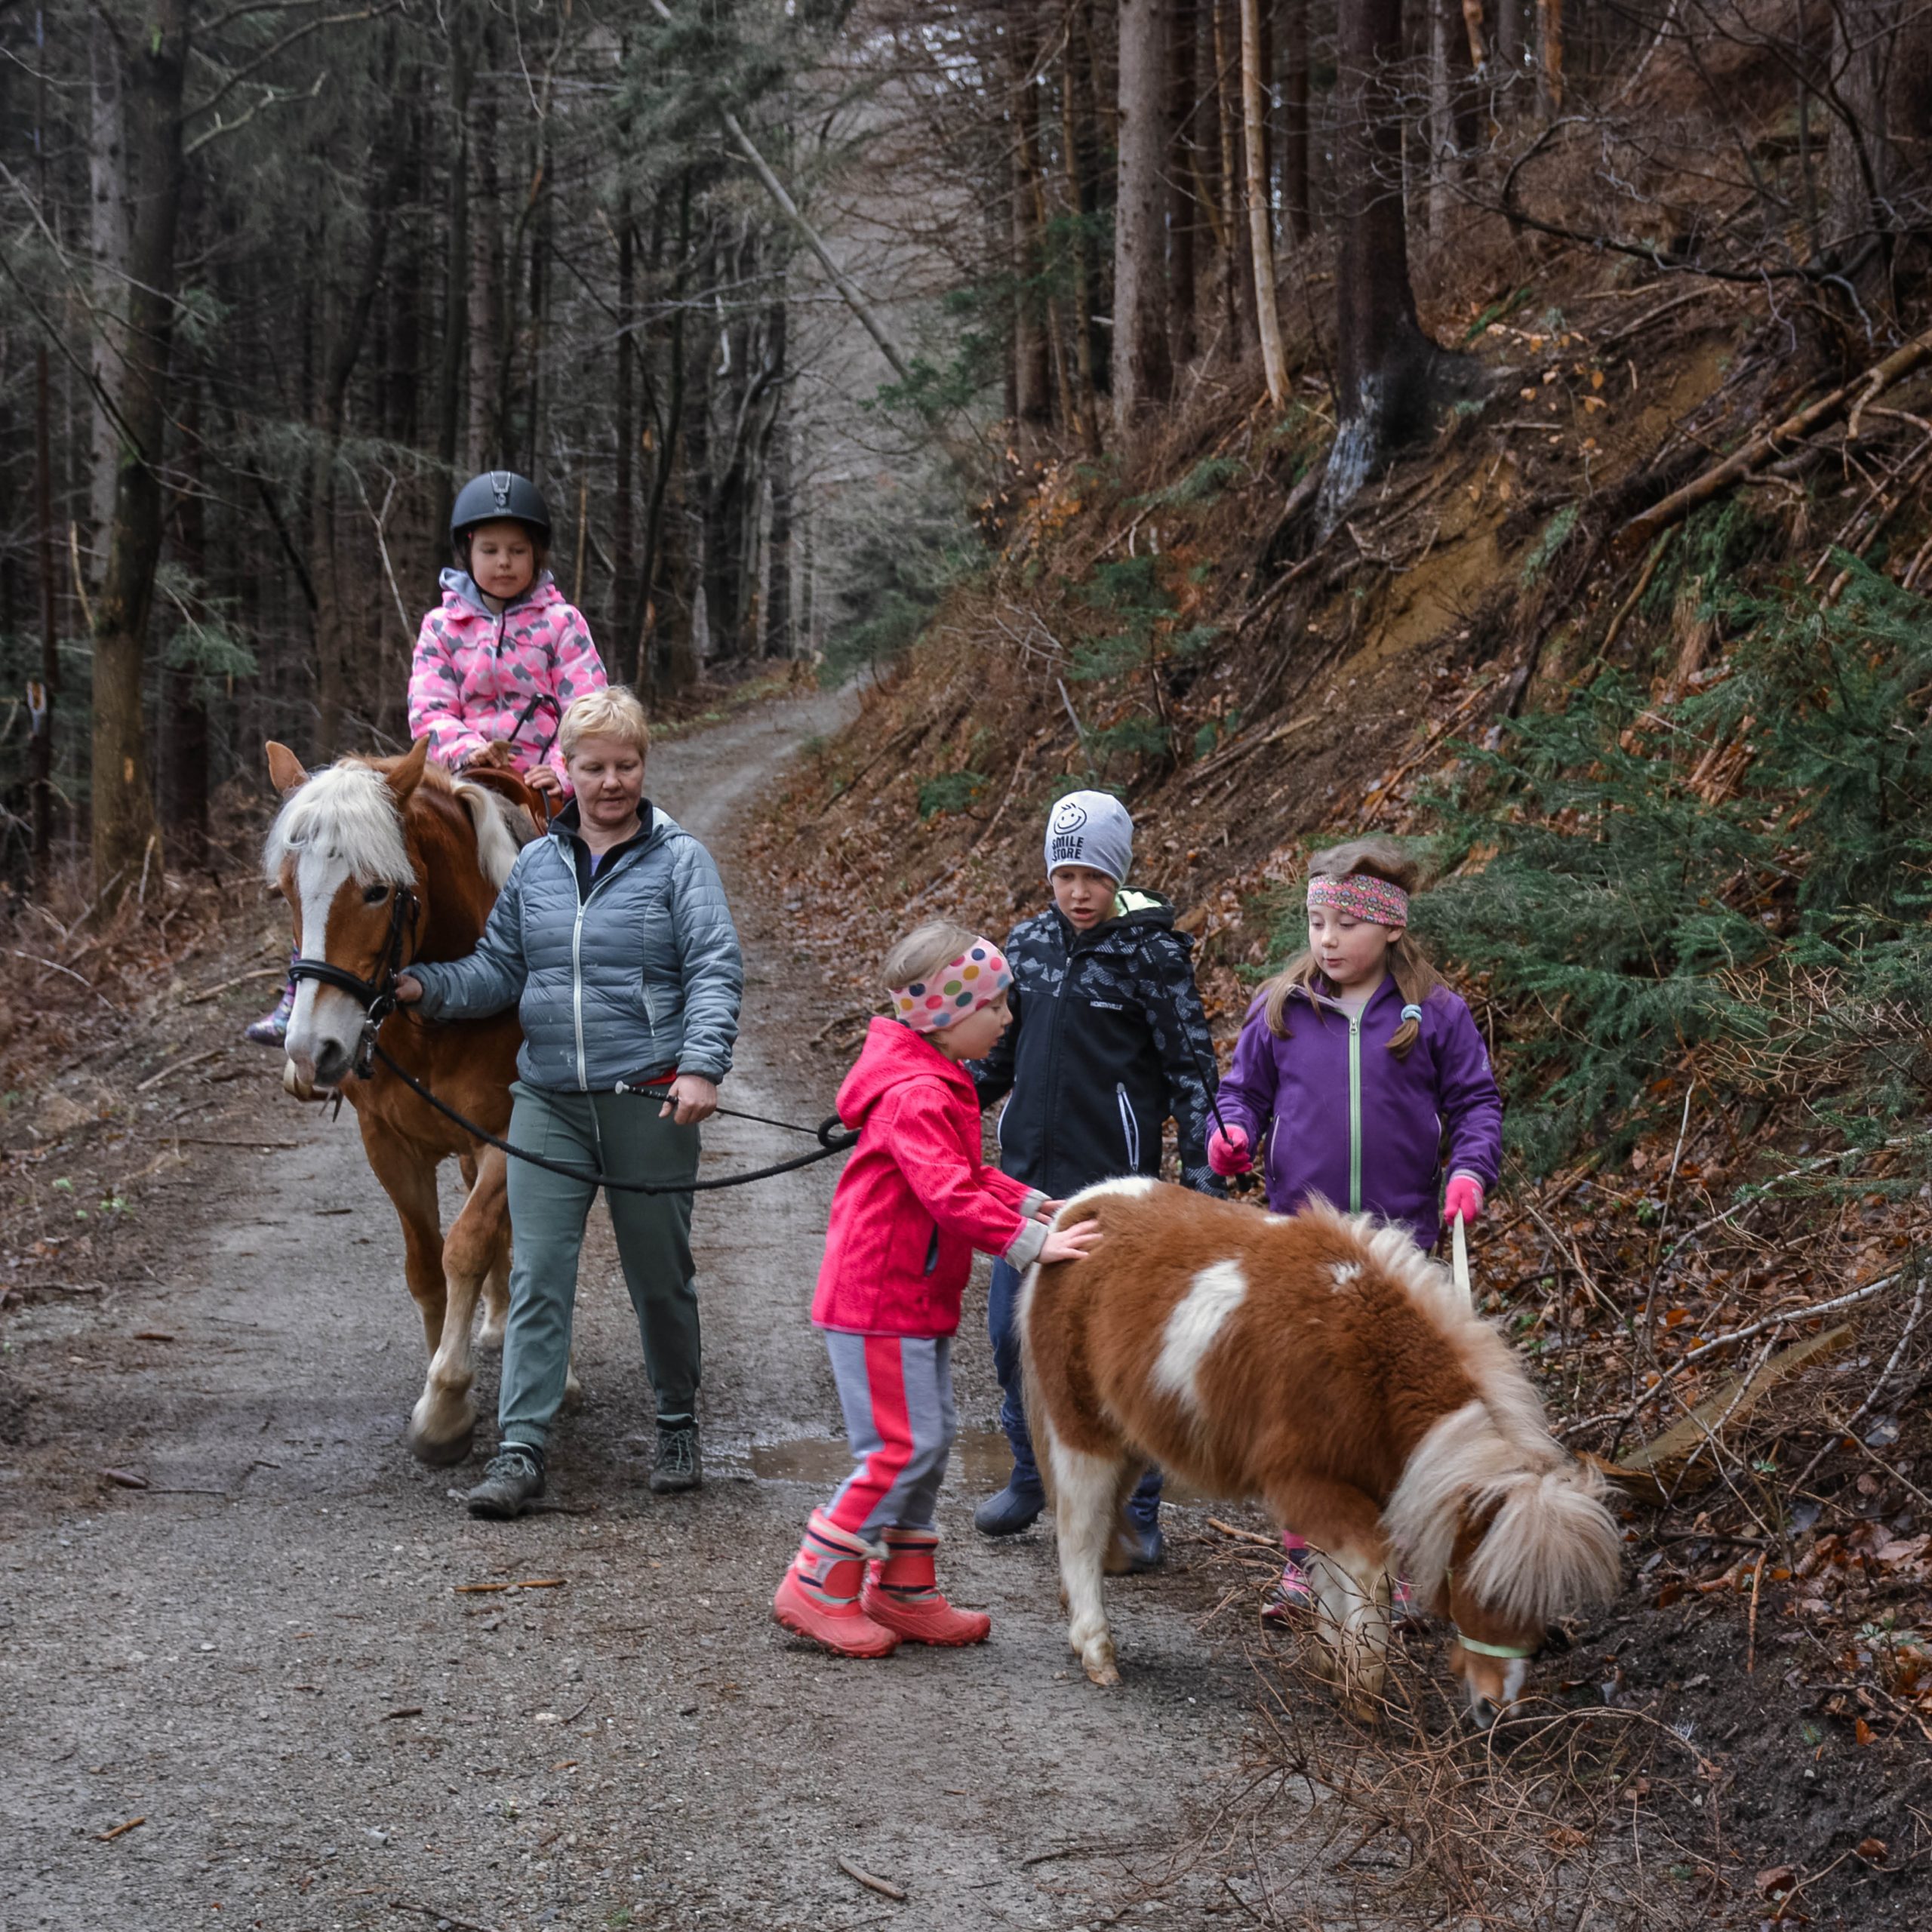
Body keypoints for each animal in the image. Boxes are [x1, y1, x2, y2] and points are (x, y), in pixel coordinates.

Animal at [260, 737, 540, 1460]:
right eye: (285, 890)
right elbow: (425, 1266)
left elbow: (466, 1245)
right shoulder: (388, 1144)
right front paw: (446, 1382)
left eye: (378, 891)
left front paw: (444, 1402)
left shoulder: (516, 1138)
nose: (313, 1050)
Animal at [1020, 1174, 1623, 1723]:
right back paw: (1096, 1650)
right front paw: (1364, 1687)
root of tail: (1076, 1211)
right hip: (1083, 1436)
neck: (1371, 1364)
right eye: (1486, 1589)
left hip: (1129, 1444)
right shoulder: (1310, 1485)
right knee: (1080, 1530)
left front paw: (1335, 1662)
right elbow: (1368, 1573)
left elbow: (1334, 1575)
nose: (1495, 1708)